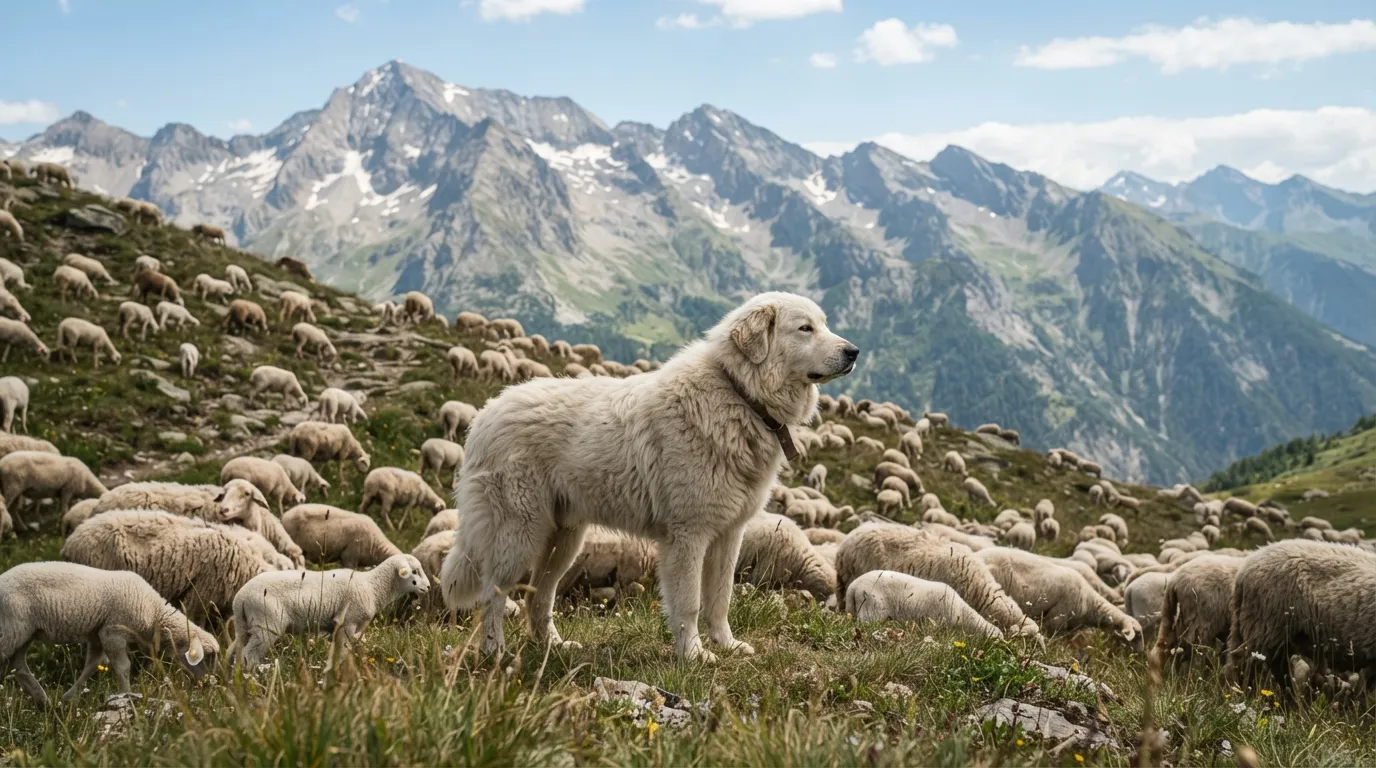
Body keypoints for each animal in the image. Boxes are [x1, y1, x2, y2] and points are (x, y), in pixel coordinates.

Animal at [0, 562, 217, 706]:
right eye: (207, 658)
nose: (207, 684)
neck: (153, 611)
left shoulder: (97, 634)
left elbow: (92, 665)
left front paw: (69, 697)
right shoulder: (112, 632)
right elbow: (123, 667)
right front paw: (128, 697)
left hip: (22, 633)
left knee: (19, 666)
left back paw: (42, 699)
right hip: (10, 628)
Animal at [229, 554, 426, 667]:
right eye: (415, 571)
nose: (429, 587)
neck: (373, 586)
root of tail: (240, 599)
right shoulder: (348, 622)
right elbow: (343, 651)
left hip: (245, 626)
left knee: (235, 652)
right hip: (267, 625)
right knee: (250, 655)